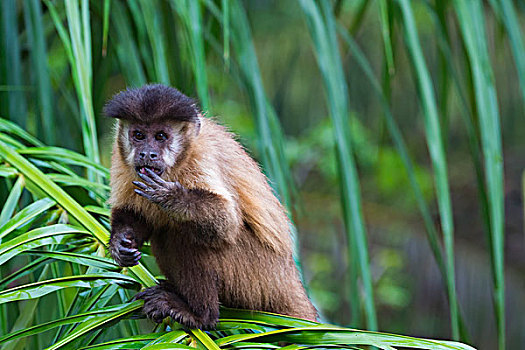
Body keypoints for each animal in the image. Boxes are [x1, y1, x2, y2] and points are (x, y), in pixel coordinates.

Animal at [104, 84, 314, 328]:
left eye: (160, 136)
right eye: (138, 135)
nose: (147, 153)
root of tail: (290, 278)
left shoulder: (200, 155)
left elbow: (226, 223)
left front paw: (173, 197)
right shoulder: (119, 156)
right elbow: (135, 215)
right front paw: (120, 243)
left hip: (261, 279)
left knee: (180, 234)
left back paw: (200, 315)